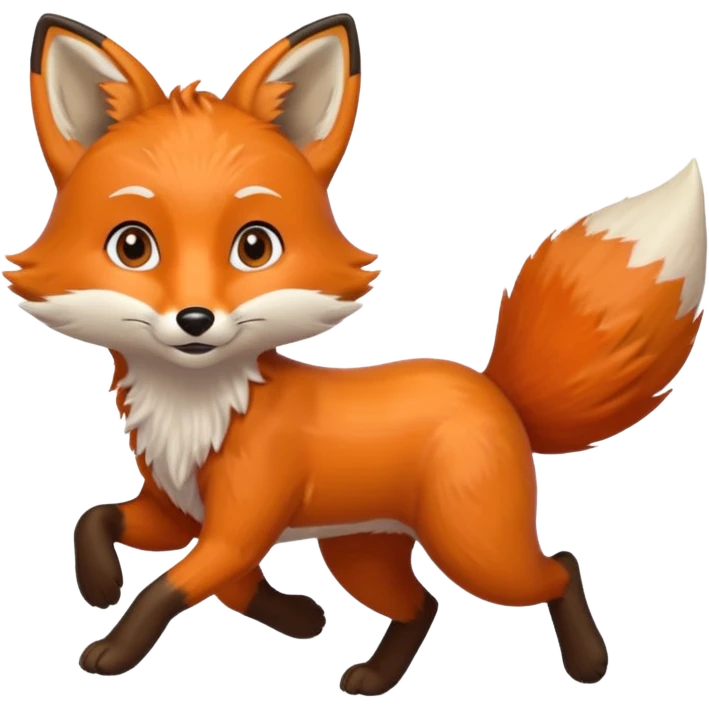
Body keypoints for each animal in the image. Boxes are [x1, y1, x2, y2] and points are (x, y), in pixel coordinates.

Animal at [8, 10, 707, 693]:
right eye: (133, 246)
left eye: (254, 246)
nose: (195, 319)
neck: (198, 408)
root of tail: (494, 389)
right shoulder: (178, 511)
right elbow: (100, 521)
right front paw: (114, 585)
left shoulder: (240, 519)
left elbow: (173, 587)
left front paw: (116, 647)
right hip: (363, 553)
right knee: (423, 605)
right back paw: (374, 677)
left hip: (476, 549)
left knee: (558, 566)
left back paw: (588, 662)